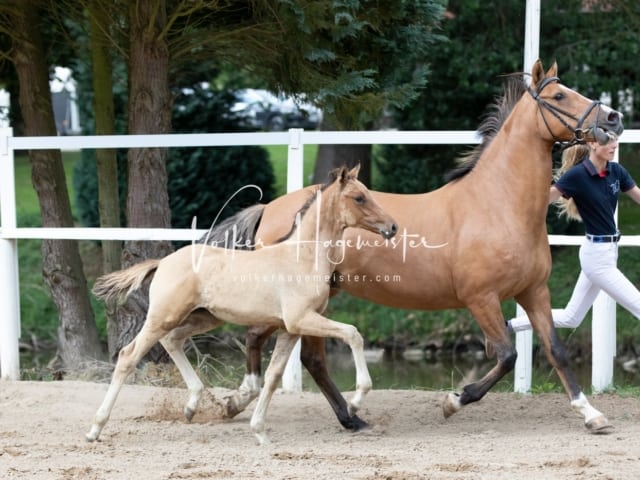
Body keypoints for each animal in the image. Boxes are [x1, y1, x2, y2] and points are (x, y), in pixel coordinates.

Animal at [85, 166, 396, 446]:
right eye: (359, 197)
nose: (392, 227)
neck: (302, 258)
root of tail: (162, 262)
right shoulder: (302, 319)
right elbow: (353, 334)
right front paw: (356, 402)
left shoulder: (291, 329)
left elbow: (273, 376)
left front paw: (260, 432)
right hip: (163, 316)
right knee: (128, 356)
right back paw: (95, 429)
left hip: (204, 318)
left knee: (172, 340)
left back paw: (192, 404)